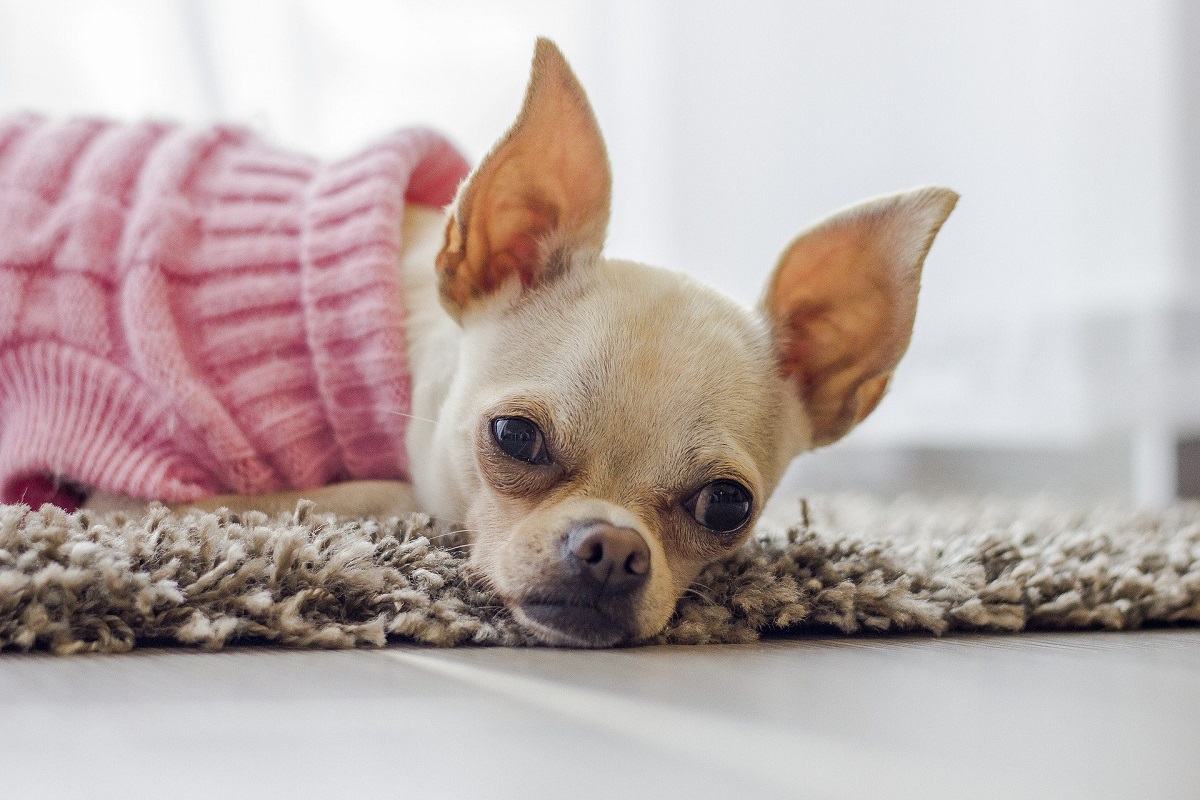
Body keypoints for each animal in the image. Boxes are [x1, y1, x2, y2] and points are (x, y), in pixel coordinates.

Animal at [0, 40, 955, 647]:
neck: (399, 340)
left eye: (727, 505)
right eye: (515, 439)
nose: (613, 549)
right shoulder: (126, 497)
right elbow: (389, 494)